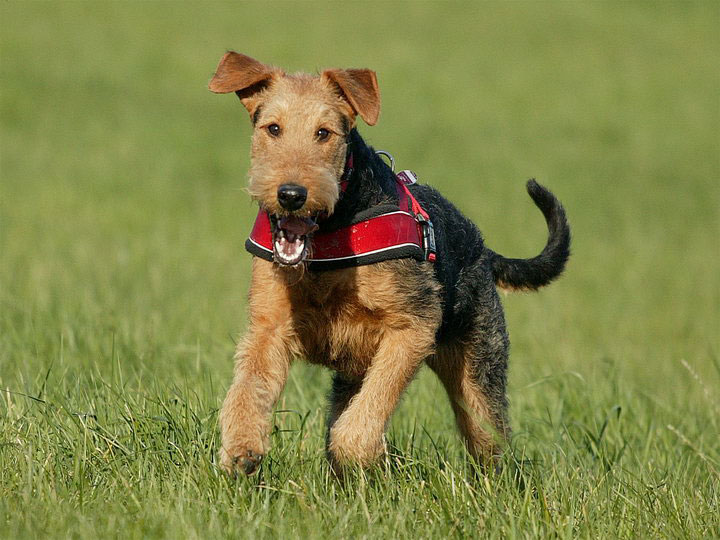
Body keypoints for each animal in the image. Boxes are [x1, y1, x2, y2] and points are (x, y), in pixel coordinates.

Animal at [208, 52, 570, 475]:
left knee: (491, 443)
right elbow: (248, 388)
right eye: (273, 128)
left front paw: (367, 453)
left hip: (477, 374)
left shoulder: (411, 326)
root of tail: (483, 249)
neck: (331, 237)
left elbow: (366, 414)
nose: (291, 194)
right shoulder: (271, 326)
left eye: (324, 133)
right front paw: (241, 449)